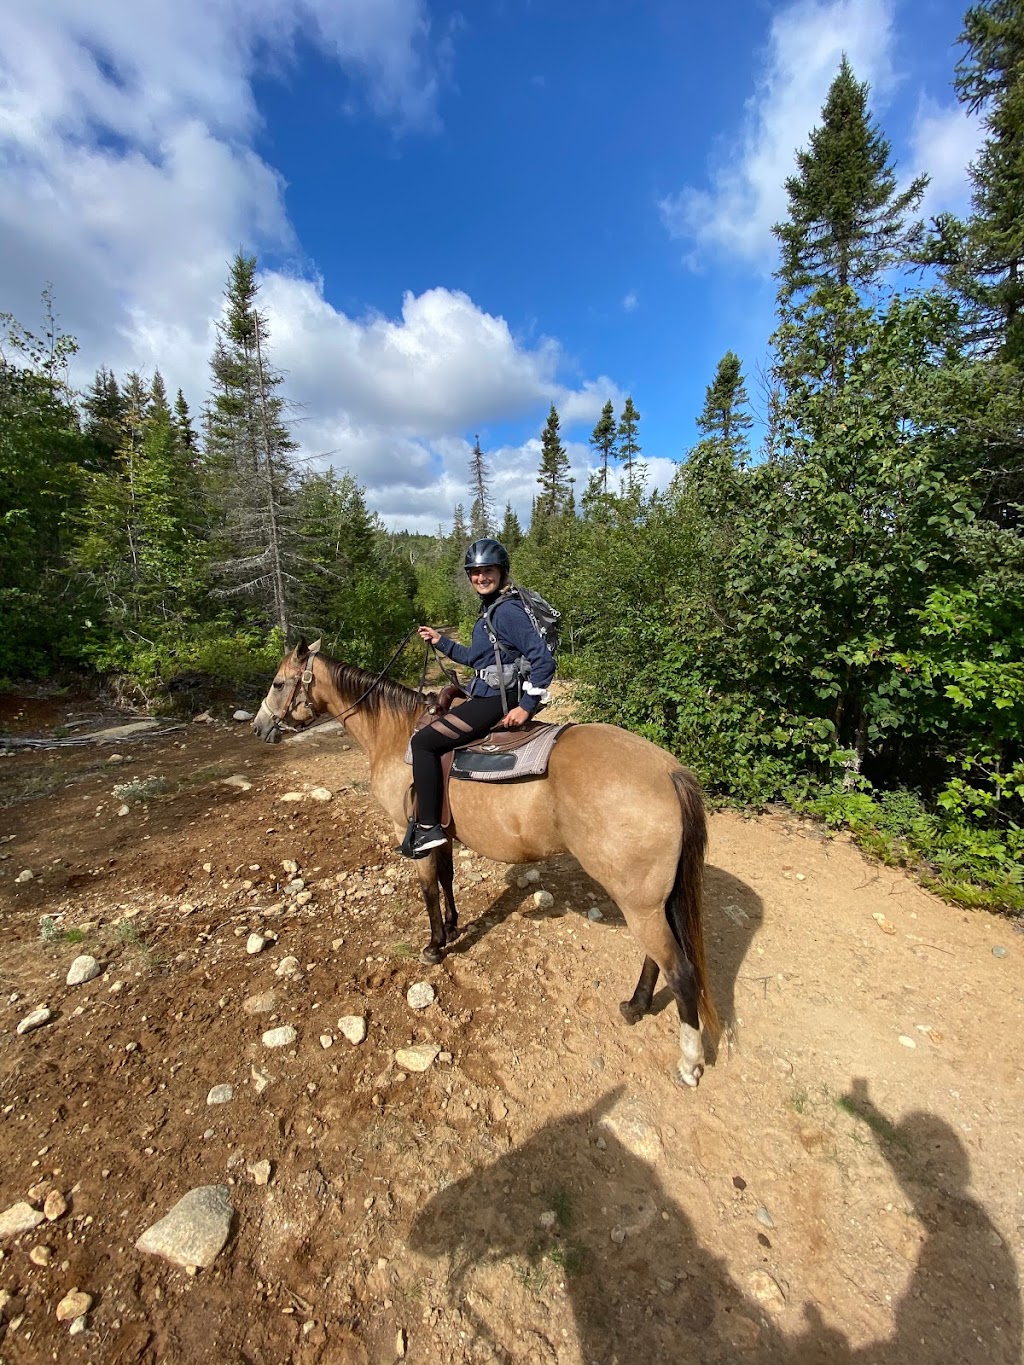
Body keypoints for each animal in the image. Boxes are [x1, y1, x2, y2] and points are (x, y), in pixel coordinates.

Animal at [252, 638, 720, 1086]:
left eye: (277, 683)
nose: (259, 727)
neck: (395, 735)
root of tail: (668, 771)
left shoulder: (413, 834)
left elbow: (428, 888)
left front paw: (435, 945)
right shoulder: (441, 833)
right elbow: (446, 877)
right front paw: (454, 926)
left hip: (639, 903)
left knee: (680, 972)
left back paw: (688, 1063)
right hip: (650, 901)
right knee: (658, 959)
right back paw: (636, 1006)